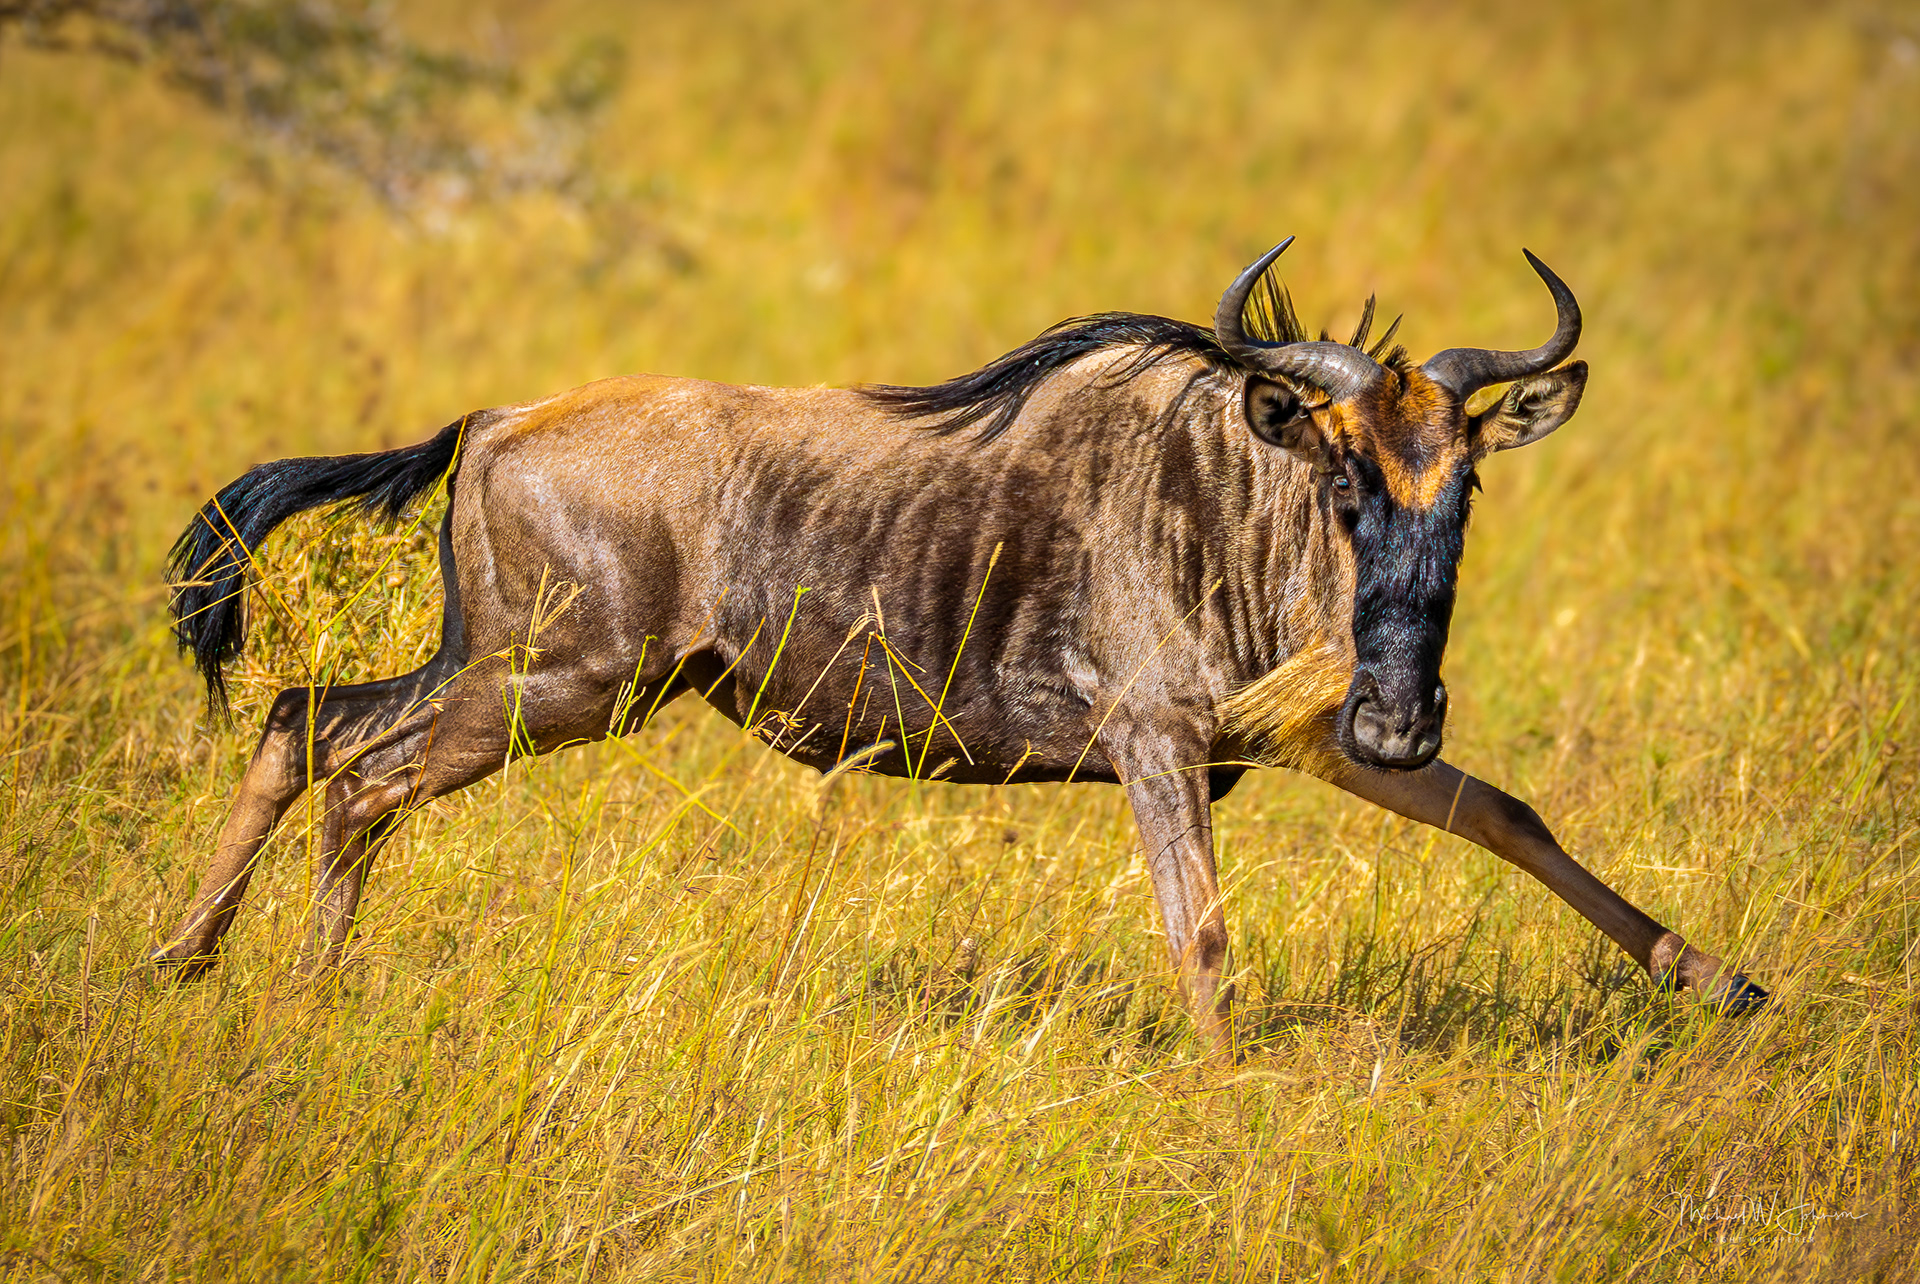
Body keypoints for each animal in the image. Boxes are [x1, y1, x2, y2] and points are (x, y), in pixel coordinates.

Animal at [158, 239, 1767, 1049]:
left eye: (1466, 485)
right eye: (1343, 481)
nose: (1399, 714)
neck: (1227, 495)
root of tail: (490, 419)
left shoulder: (1300, 739)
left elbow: (1511, 813)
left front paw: (1727, 986)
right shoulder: (1158, 742)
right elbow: (1203, 934)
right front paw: (1228, 1101)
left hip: (507, 670)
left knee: (301, 719)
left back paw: (184, 961)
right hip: (556, 685)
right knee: (360, 776)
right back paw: (299, 999)